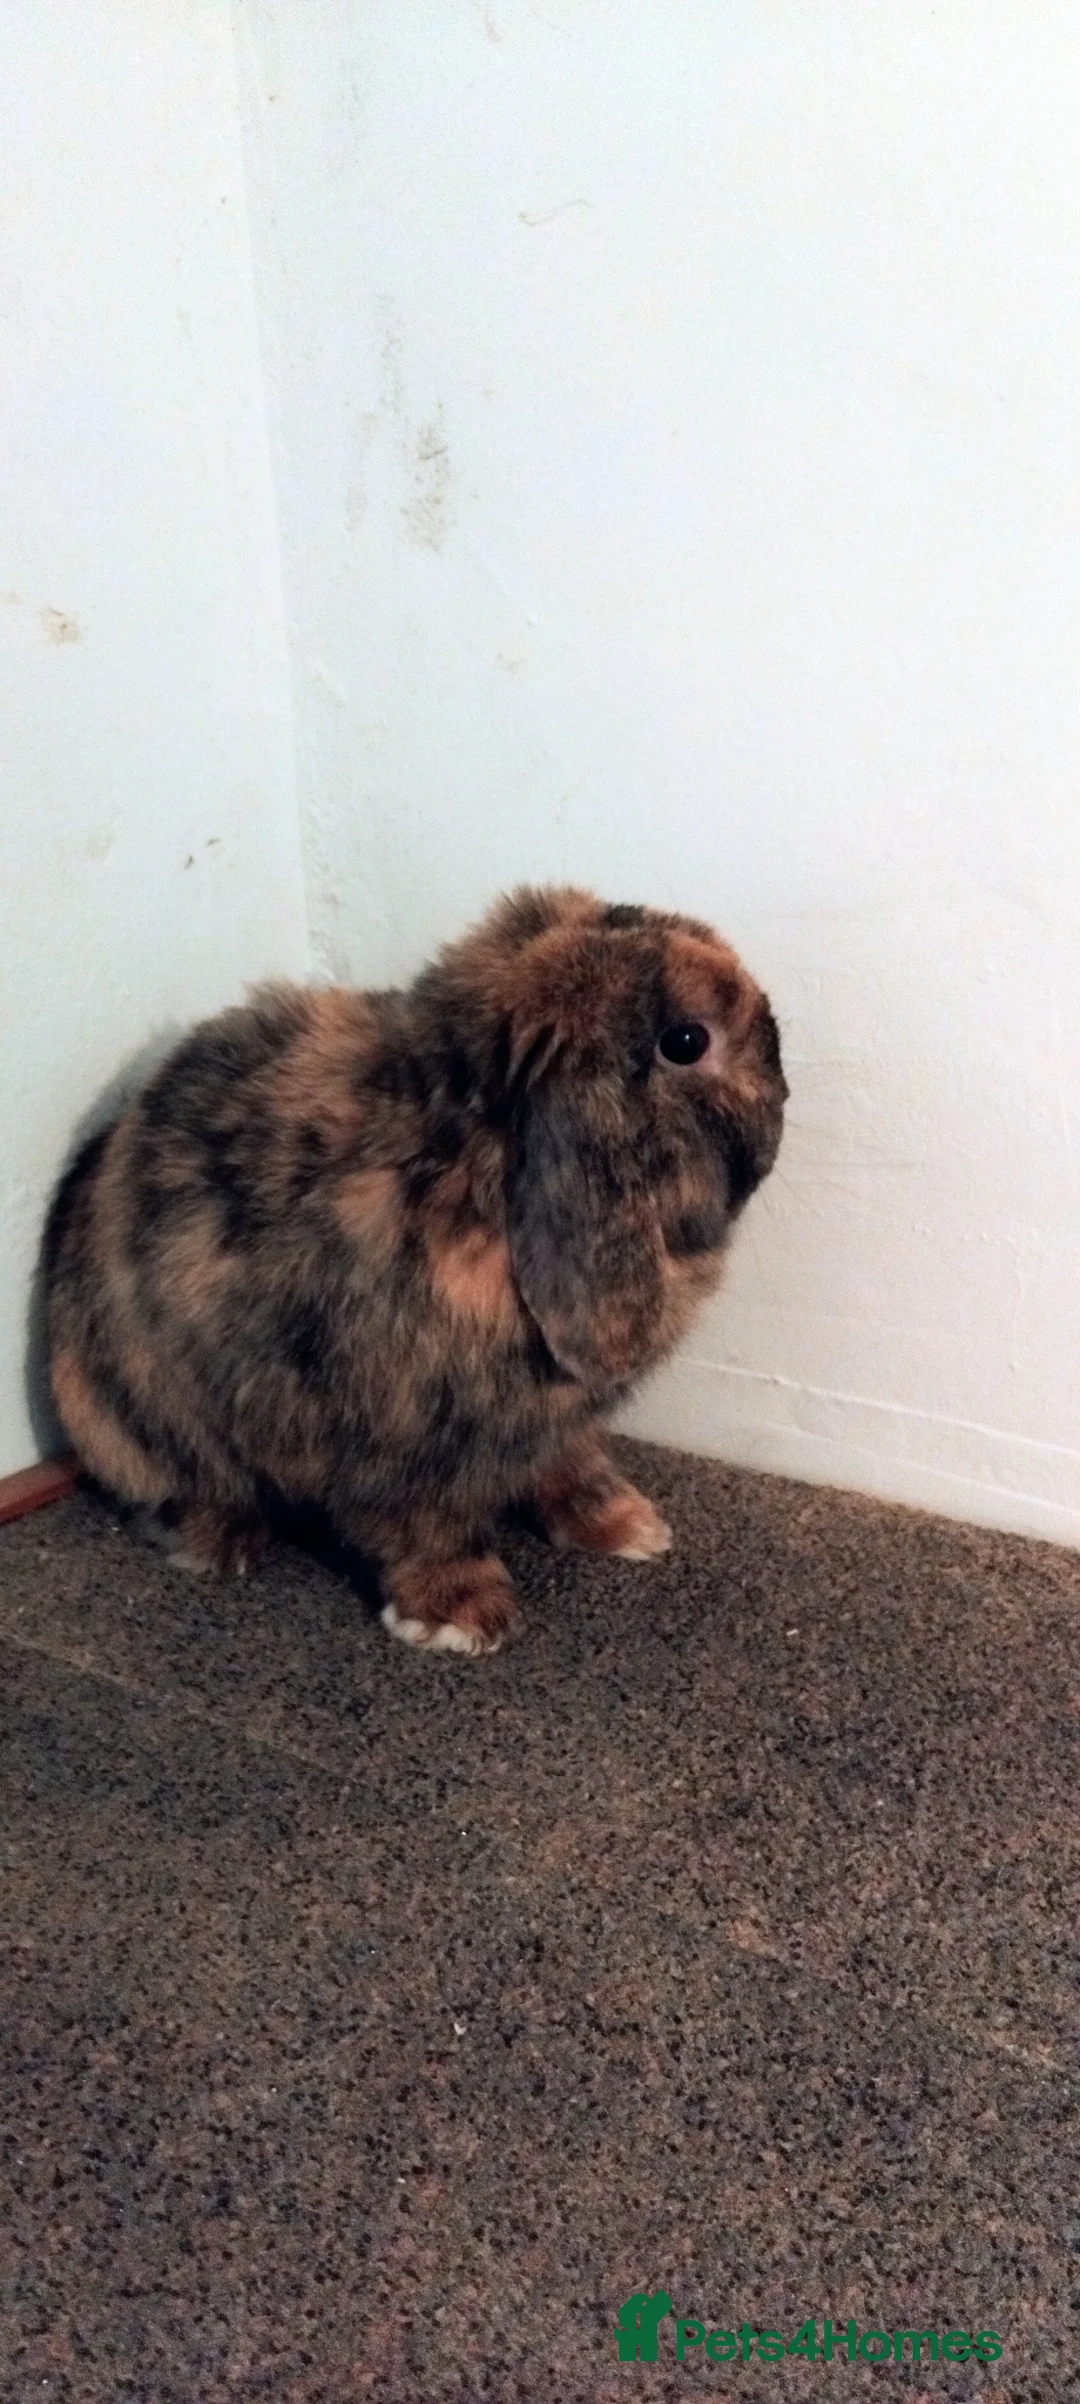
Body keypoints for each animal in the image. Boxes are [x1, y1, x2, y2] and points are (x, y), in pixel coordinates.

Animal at [43, 886, 786, 1655]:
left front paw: (629, 1528)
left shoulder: (552, 1424)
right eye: (687, 1042)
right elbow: (424, 1530)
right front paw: (462, 1619)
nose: (784, 1080)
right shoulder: (404, 1448)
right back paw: (221, 1544)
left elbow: (570, 1465)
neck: (474, 1169)